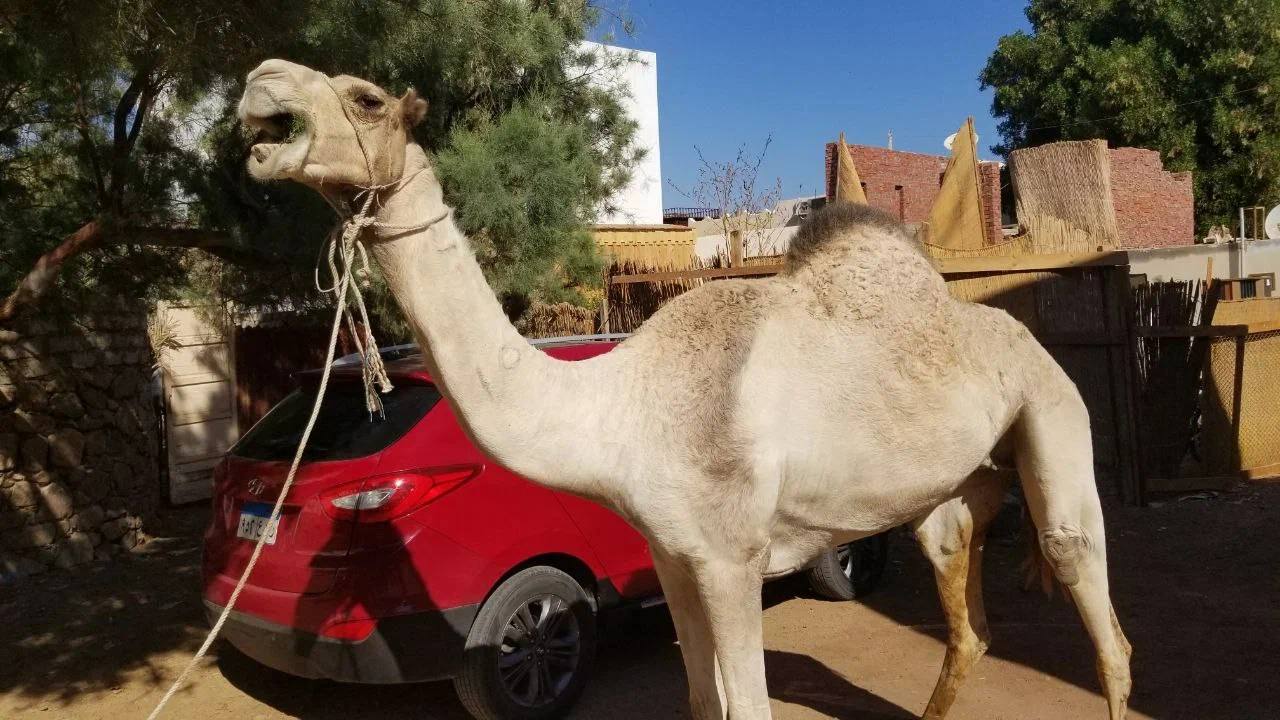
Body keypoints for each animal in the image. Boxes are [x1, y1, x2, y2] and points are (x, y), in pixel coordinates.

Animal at [236, 59, 1132, 720]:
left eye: (365, 98)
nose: (261, 82)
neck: (618, 406)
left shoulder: (734, 558)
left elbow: (748, 708)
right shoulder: (674, 558)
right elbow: (705, 703)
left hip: (1053, 407)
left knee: (1096, 608)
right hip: (947, 489)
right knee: (965, 603)